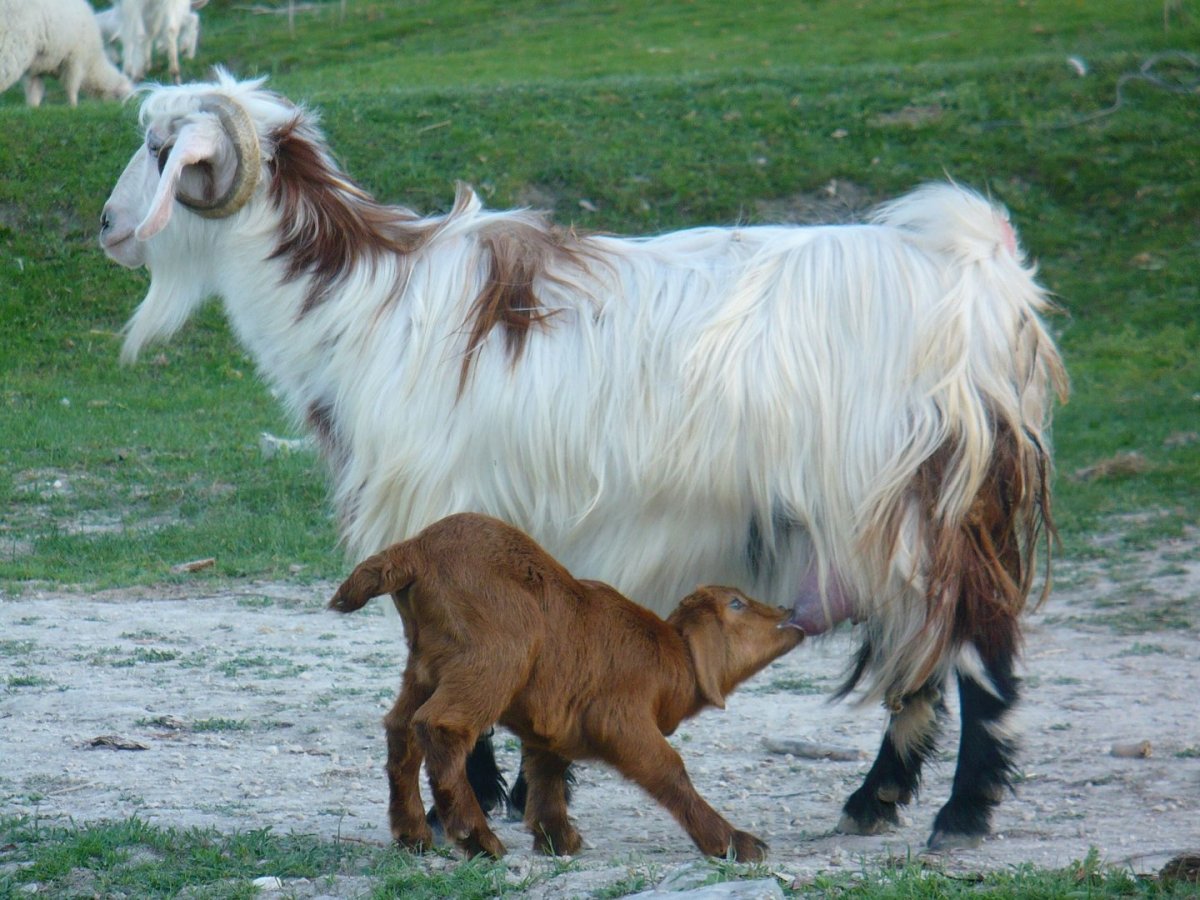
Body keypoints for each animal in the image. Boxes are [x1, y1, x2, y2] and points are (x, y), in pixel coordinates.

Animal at [0, 0, 132, 107]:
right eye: (123, 98)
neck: (92, 63)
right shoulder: (75, 59)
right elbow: (71, 86)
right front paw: (73, 106)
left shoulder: (35, 69)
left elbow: (34, 91)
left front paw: (33, 109)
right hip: (14, 44)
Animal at [96, 72, 1070, 854]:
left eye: (159, 148)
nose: (106, 225)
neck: (361, 302)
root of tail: (982, 273)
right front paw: (516, 799)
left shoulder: (438, 501)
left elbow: (462, 674)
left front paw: (476, 801)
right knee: (925, 655)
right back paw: (876, 803)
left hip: (921, 495)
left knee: (976, 649)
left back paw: (958, 816)